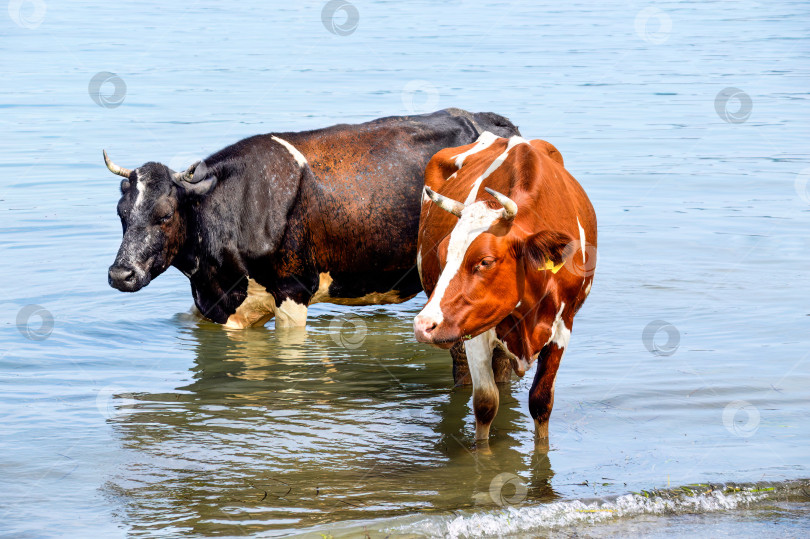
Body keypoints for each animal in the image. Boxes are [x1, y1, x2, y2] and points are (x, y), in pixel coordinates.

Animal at [416, 132, 592, 442]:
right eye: (441, 254)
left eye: (485, 261)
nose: (423, 325)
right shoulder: (474, 329)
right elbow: (485, 404)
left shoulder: (563, 325)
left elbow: (541, 402)